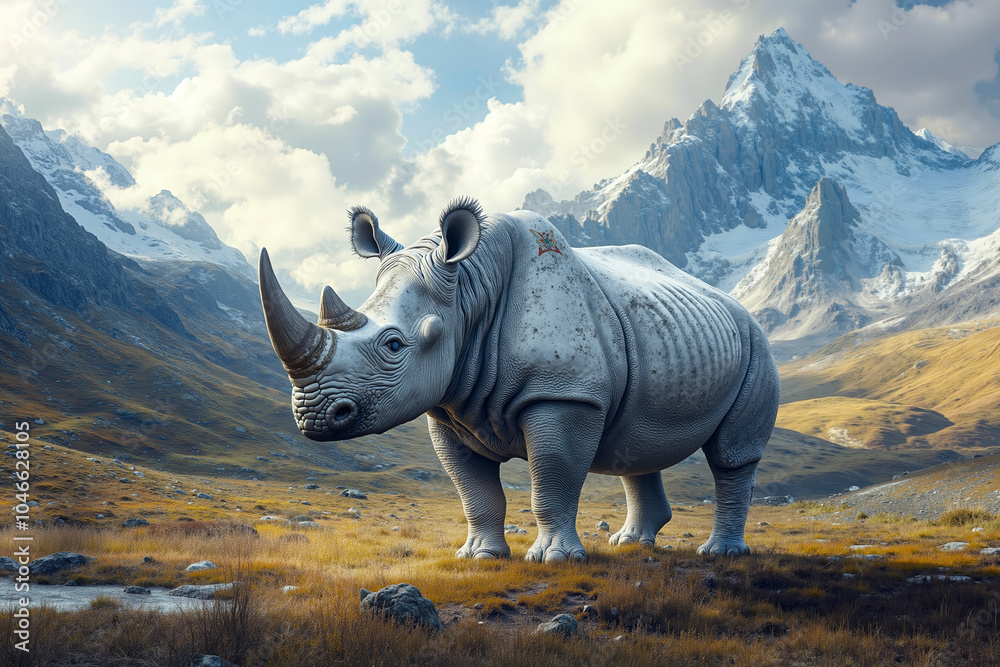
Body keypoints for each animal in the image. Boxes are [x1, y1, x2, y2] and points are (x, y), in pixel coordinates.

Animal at [259, 197, 779, 562]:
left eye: (393, 345)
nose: (312, 415)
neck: (468, 292)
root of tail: (732, 304)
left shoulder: (564, 394)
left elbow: (552, 474)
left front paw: (554, 560)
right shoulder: (446, 406)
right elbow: (474, 490)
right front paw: (479, 556)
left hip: (756, 342)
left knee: (732, 454)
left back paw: (719, 554)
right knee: (636, 442)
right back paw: (631, 545)